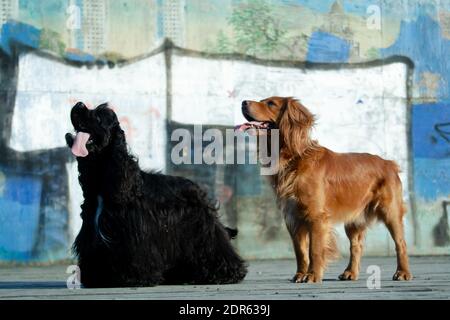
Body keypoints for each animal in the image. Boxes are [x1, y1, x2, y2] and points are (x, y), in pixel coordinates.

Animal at [239, 97, 412, 282]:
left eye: (271, 103)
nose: (243, 102)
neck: (293, 157)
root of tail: (389, 164)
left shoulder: (316, 217)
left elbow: (314, 249)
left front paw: (312, 275)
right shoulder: (294, 218)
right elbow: (300, 252)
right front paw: (300, 274)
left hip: (390, 212)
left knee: (401, 243)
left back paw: (403, 272)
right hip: (354, 218)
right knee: (356, 246)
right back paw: (350, 272)